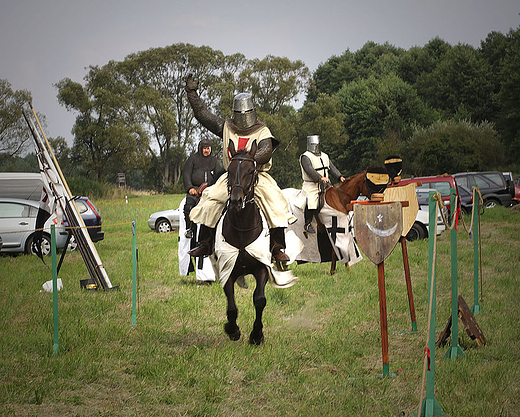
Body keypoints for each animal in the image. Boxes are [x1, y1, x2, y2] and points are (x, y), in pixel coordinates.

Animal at [218, 140, 270, 344]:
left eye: (251, 171)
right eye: (230, 171)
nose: (236, 200)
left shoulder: (262, 268)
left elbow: (259, 299)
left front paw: (257, 335)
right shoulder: (227, 270)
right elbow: (231, 305)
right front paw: (232, 329)